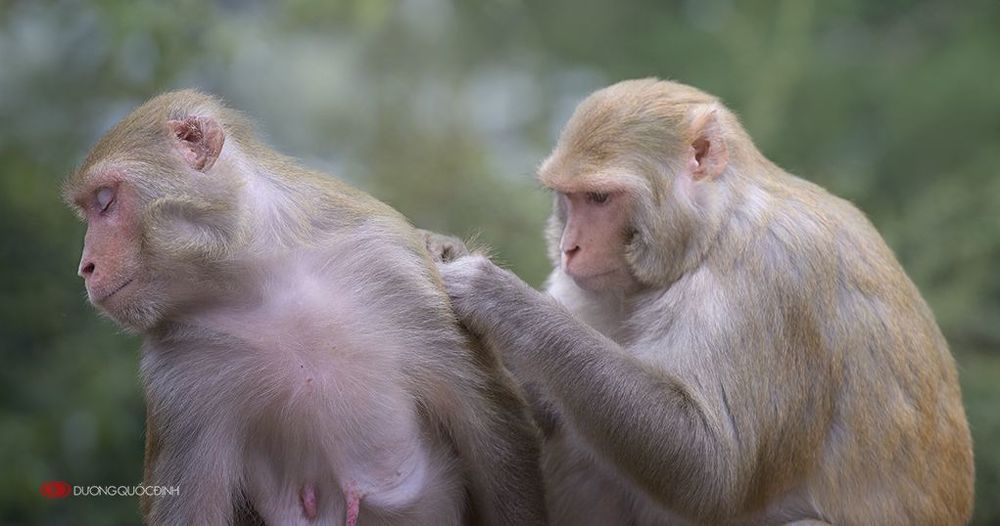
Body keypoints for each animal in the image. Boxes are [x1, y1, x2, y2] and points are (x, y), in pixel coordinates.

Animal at [62, 90, 547, 526]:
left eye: (105, 201)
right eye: (92, 207)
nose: (85, 267)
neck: (265, 278)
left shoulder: (398, 273)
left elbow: (494, 434)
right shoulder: (177, 370)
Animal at [431, 78, 974, 525]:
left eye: (600, 199)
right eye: (568, 197)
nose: (569, 248)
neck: (708, 234)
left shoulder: (769, 277)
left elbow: (712, 465)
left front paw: (499, 296)